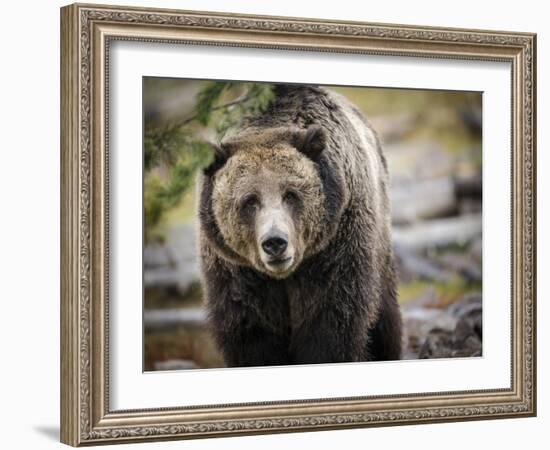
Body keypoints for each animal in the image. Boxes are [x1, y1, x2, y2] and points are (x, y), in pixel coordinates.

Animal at [197, 83, 402, 366]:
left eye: (291, 194)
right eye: (249, 201)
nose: (275, 242)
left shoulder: (335, 248)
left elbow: (330, 324)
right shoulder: (236, 271)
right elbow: (252, 333)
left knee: (385, 319)